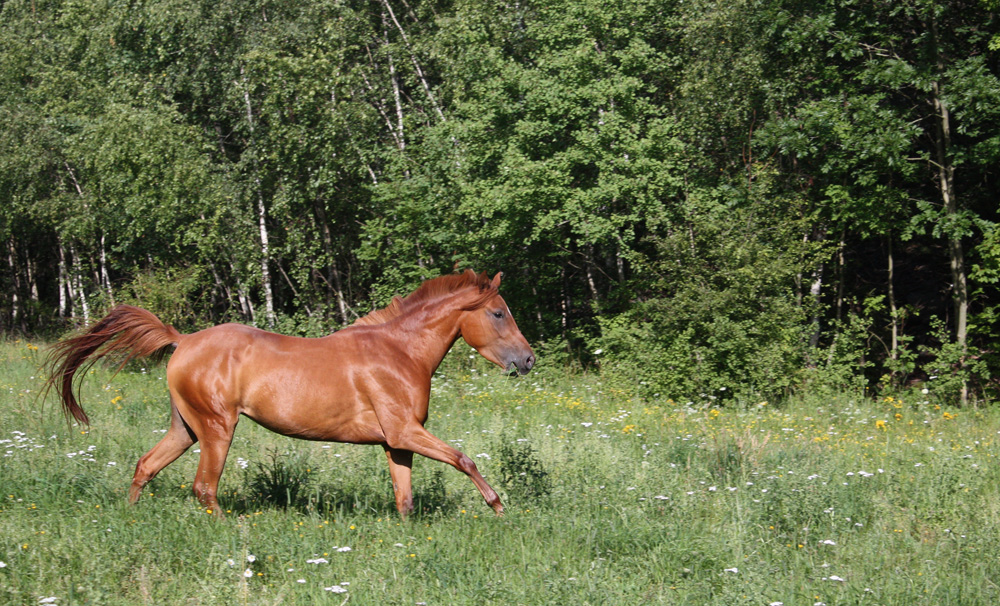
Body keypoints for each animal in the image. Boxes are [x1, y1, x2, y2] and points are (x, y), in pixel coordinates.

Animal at [46, 270, 536, 516]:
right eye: (498, 312)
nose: (528, 360)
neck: (400, 352)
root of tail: (182, 341)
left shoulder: (396, 441)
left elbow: (406, 499)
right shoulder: (404, 431)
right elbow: (464, 459)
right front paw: (498, 507)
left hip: (186, 427)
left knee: (146, 465)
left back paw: (129, 519)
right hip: (216, 428)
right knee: (204, 487)